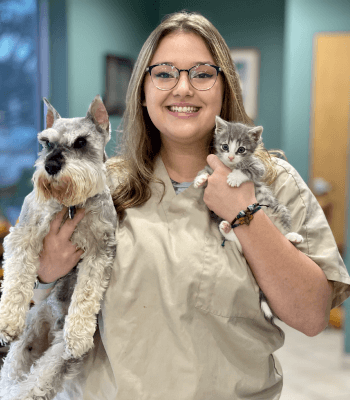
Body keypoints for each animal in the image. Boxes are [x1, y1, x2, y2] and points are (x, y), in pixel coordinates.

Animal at [0, 95, 118, 398]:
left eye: (81, 142)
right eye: (46, 143)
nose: (51, 166)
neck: (70, 205)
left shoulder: (100, 250)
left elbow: (86, 294)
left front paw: (78, 334)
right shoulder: (24, 234)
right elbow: (17, 278)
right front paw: (8, 321)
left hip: (57, 358)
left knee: (36, 382)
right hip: (24, 345)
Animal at [194, 115, 304, 328]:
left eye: (241, 150)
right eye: (225, 146)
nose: (230, 157)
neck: (228, 166)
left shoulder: (257, 167)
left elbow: (247, 170)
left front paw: (235, 178)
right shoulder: (213, 165)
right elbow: (205, 171)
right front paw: (200, 179)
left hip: (280, 211)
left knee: (284, 231)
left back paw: (293, 236)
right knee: (237, 241)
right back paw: (226, 227)